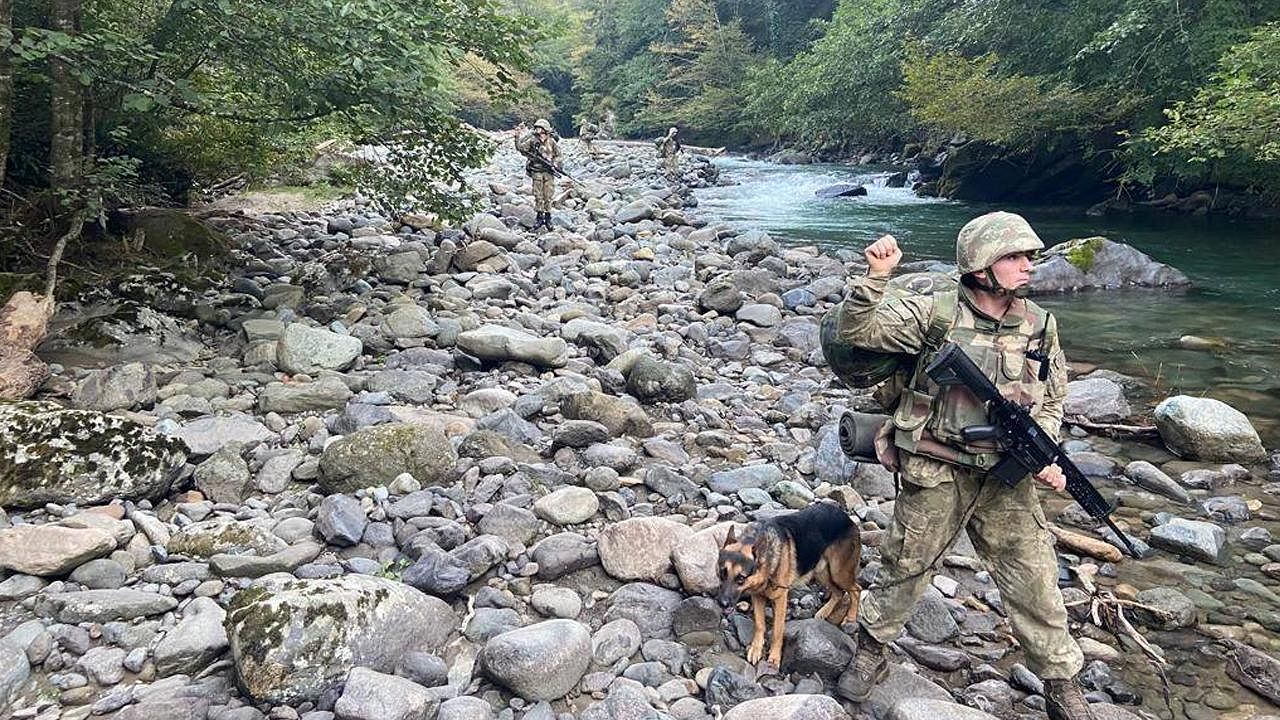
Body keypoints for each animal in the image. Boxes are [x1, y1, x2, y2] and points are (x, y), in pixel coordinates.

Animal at [716, 499, 865, 661]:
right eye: (722, 574)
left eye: (741, 579)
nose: (722, 603)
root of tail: (846, 517)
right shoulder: (758, 596)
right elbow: (760, 624)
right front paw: (756, 648)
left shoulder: (781, 598)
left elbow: (778, 630)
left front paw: (774, 657)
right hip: (820, 571)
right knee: (839, 593)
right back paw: (824, 611)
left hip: (839, 573)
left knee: (856, 590)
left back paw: (850, 618)